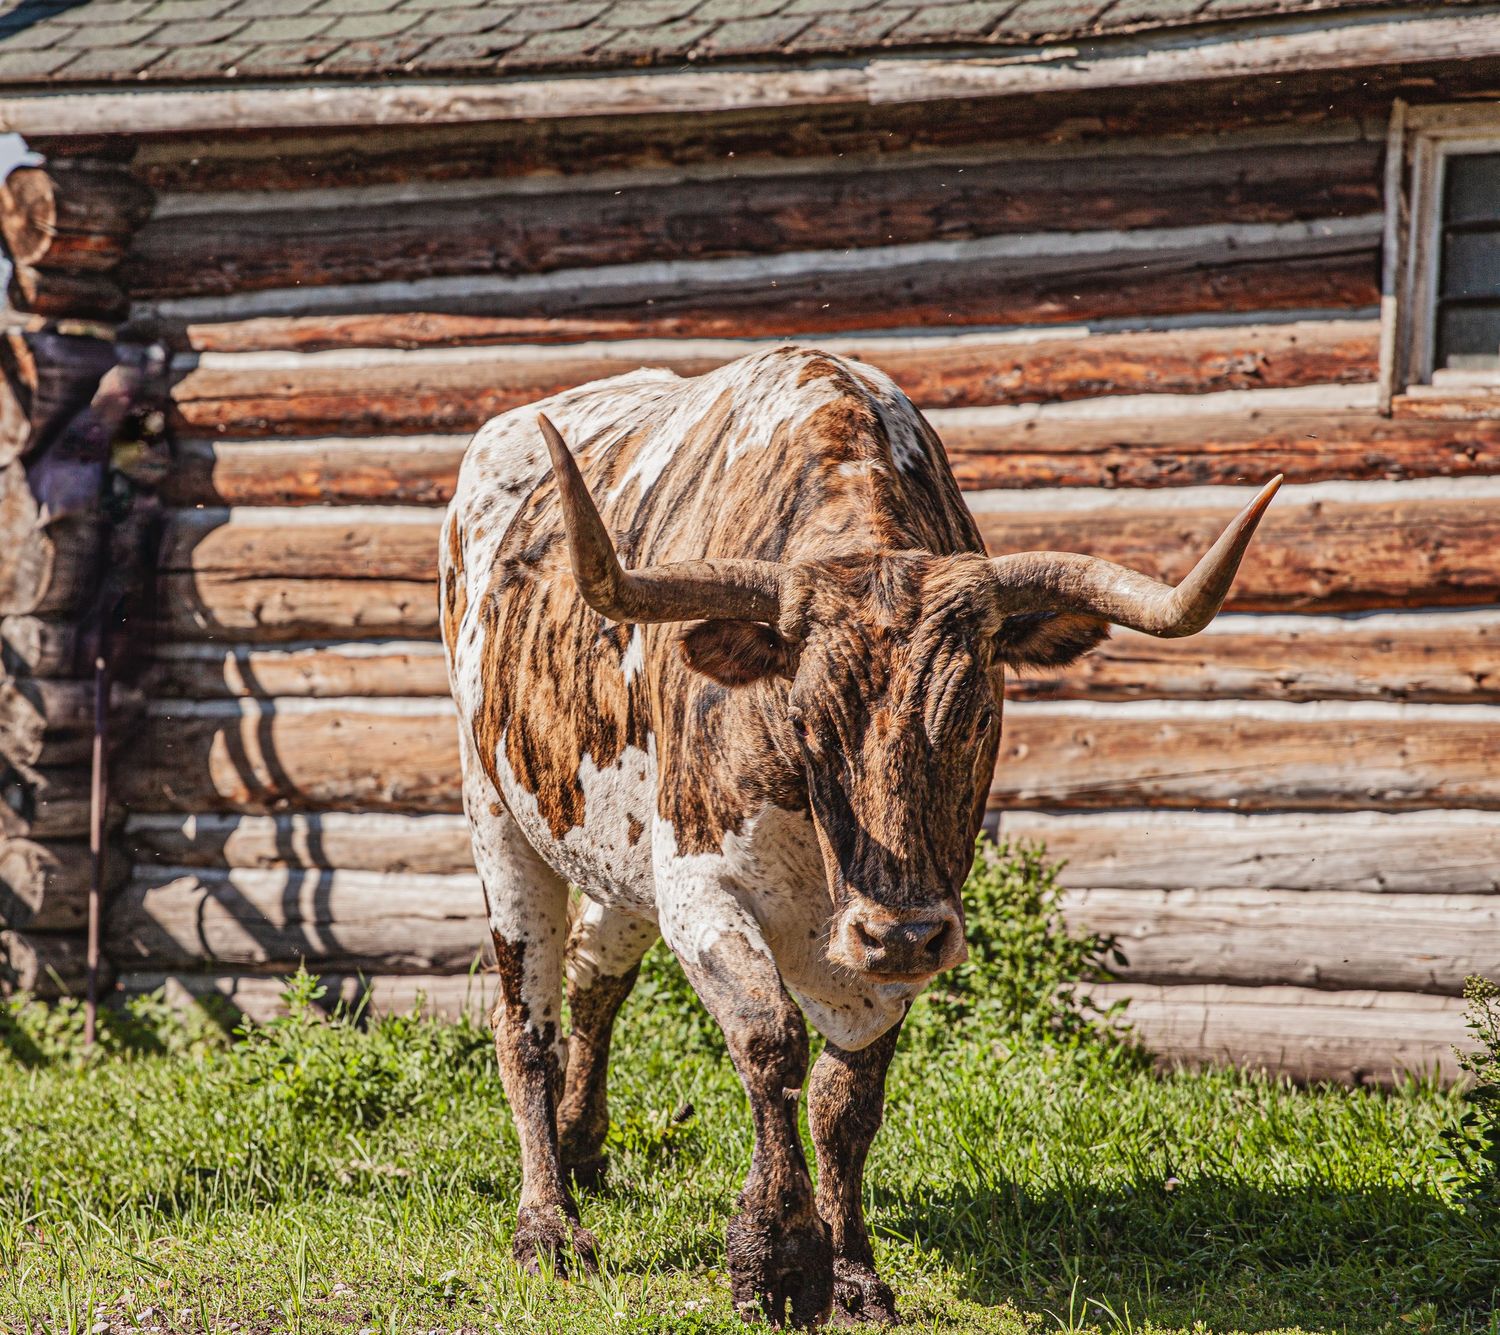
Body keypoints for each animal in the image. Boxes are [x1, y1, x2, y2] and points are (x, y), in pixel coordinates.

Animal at [440, 346, 1279, 1327]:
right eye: (806, 719)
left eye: (977, 713)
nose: (898, 931)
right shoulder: (701, 882)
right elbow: (770, 1040)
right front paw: (776, 1255)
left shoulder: (905, 928)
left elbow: (847, 1100)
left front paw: (851, 1272)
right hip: (498, 814)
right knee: (525, 1023)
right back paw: (547, 1222)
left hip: (616, 850)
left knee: (591, 976)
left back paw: (582, 1147)